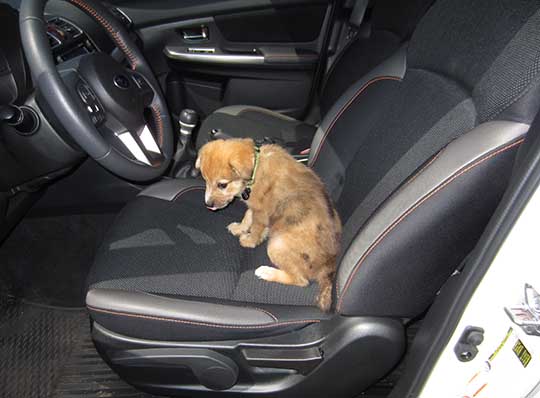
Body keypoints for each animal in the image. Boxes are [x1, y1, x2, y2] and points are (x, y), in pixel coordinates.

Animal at [196, 138, 342, 312]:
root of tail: (328, 266)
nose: (208, 205)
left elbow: (255, 228)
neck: (255, 168)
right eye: (205, 180)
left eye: (222, 185)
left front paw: (249, 240)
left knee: (301, 280)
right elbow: (248, 216)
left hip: (277, 245)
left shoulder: (261, 211)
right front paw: (240, 228)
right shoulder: (254, 205)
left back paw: (267, 272)